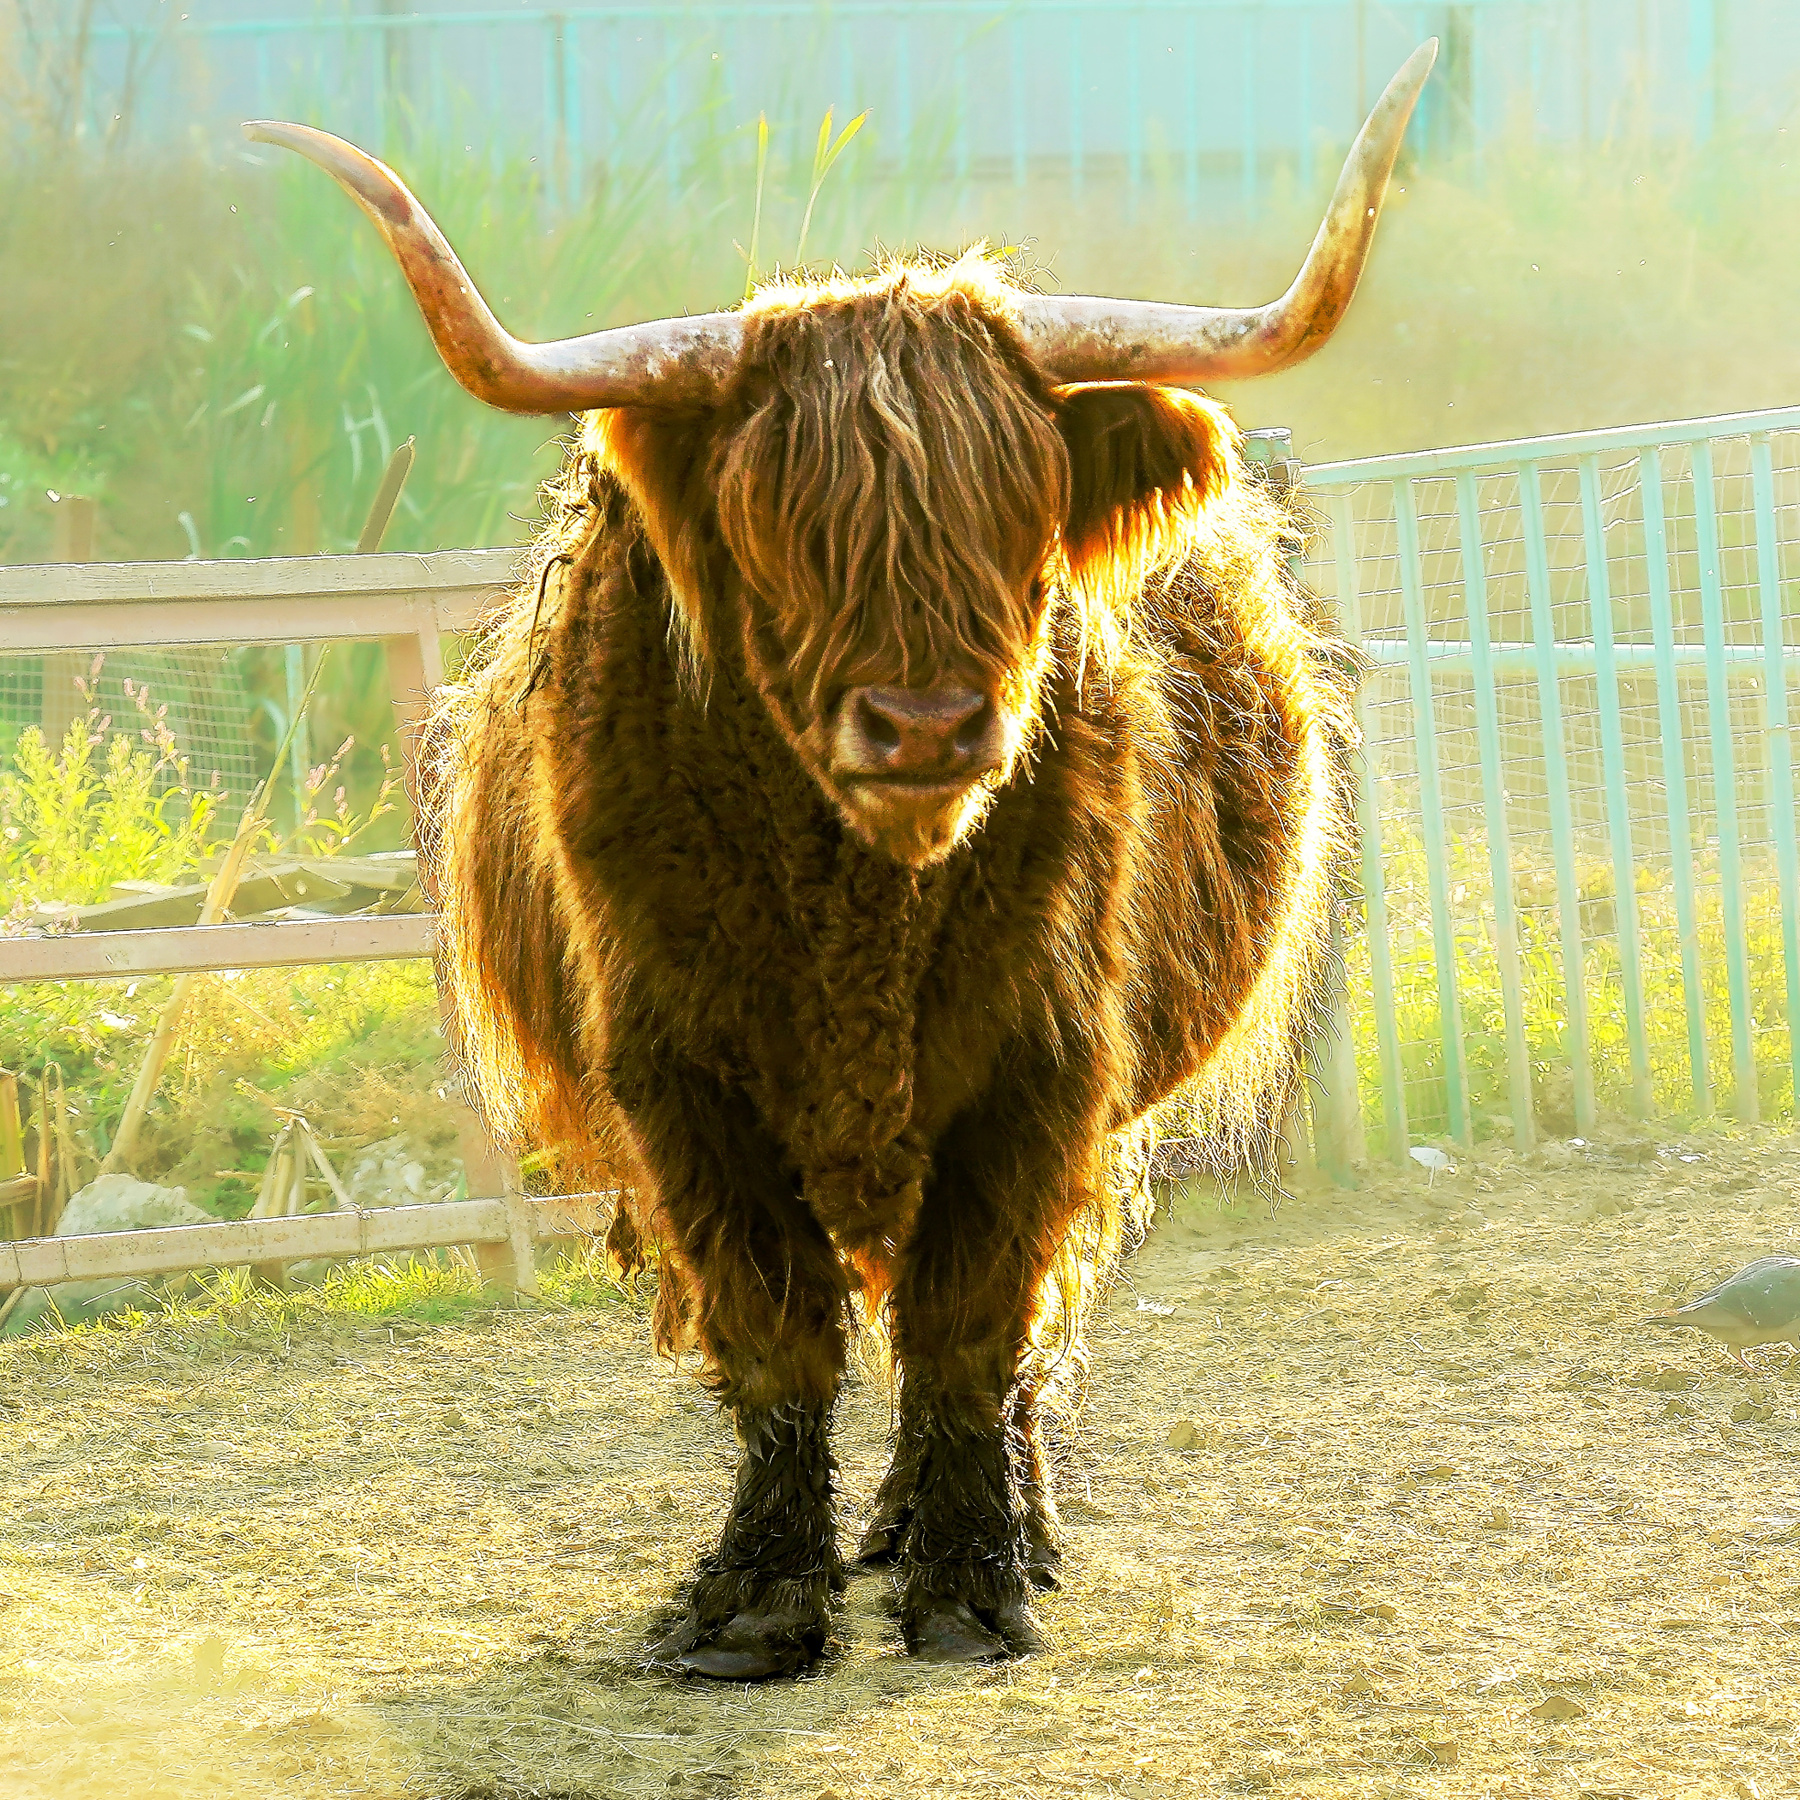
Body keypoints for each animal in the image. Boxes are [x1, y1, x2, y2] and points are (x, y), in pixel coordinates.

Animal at [247, 40, 1433, 1679]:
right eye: (775, 517)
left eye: (1020, 503)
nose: (926, 721)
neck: (861, 912)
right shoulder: (679, 1078)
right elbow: (775, 1326)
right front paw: (754, 1601)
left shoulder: (1043, 1069)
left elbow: (971, 1322)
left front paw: (971, 1585)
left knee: (1026, 1329)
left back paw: (989, 1526)